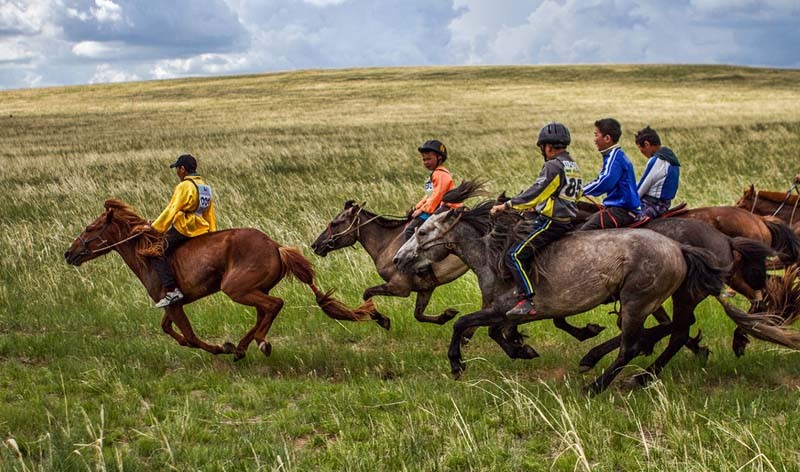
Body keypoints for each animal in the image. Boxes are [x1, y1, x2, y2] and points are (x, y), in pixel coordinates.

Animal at [65, 199, 383, 360]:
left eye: (89, 228)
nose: (69, 254)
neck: (146, 252)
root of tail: (276, 246)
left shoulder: (174, 303)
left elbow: (190, 337)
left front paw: (221, 348)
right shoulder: (171, 305)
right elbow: (170, 330)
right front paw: (226, 347)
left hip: (237, 289)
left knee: (275, 305)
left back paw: (256, 345)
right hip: (253, 289)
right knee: (264, 311)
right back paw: (244, 347)